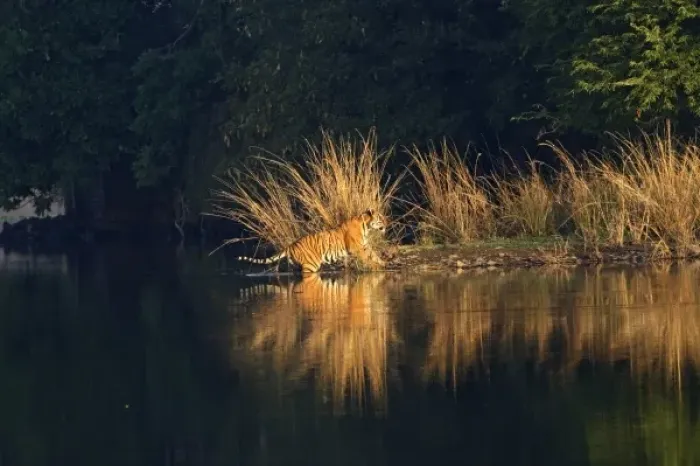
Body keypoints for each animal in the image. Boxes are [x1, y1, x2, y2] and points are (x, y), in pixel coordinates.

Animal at [236, 209, 388, 274]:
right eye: (381, 218)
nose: (387, 224)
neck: (366, 226)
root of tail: (291, 245)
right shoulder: (357, 248)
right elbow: (367, 258)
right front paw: (375, 267)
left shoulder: (365, 245)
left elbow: (374, 255)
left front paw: (383, 263)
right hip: (310, 265)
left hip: (297, 265)